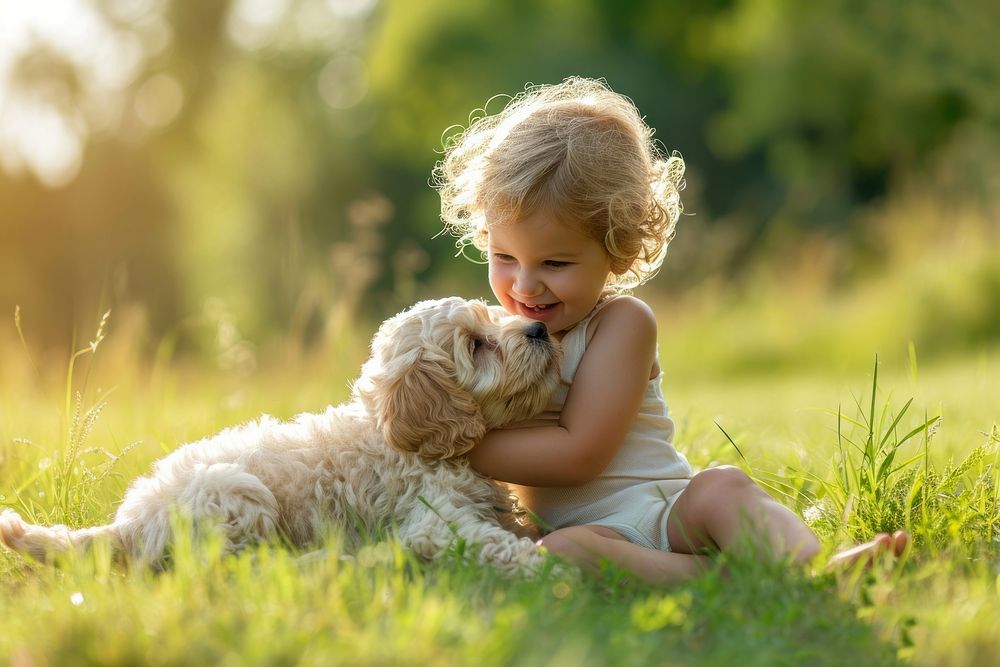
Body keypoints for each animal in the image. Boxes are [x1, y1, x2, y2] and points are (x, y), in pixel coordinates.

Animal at [0, 298, 564, 576]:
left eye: (495, 316)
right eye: (476, 345)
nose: (538, 331)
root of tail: (129, 524)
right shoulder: (435, 521)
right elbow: (491, 543)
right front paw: (550, 572)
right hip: (237, 497)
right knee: (235, 569)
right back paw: (335, 560)